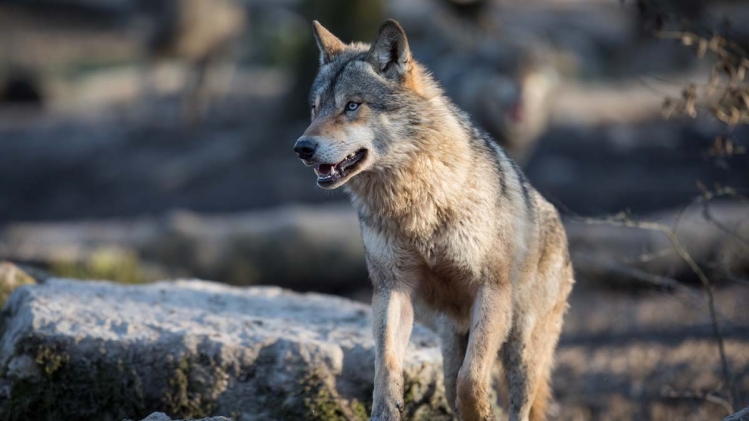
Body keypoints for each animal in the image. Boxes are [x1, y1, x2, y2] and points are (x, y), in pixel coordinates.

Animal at [293, 19, 574, 421]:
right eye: (315, 109)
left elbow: (472, 381)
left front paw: (481, 412)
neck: (416, 206)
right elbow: (386, 366)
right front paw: (386, 409)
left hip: (521, 346)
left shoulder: (492, 291)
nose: (302, 148)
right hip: (451, 343)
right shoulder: (393, 289)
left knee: (517, 402)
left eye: (352, 106)